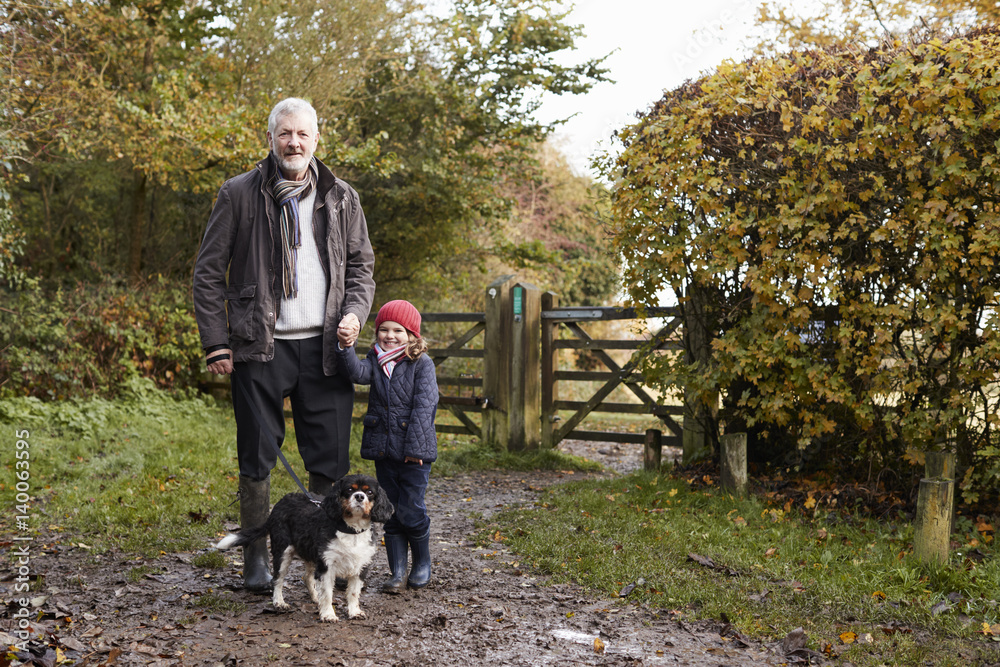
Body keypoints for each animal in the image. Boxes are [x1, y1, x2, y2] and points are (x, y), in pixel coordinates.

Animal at [217, 474, 392, 620]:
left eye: (369, 492)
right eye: (349, 490)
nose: (360, 496)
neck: (351, 530)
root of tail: (279, 504)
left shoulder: (360, 566)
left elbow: (354, 593)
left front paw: (354, 612)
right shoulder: (326, 566)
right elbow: (327, 593)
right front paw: (328, 615)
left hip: (311, 553)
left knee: (307, 577)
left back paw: (314, 597)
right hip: (283, 551)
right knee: (277, 579)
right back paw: (279, 603)